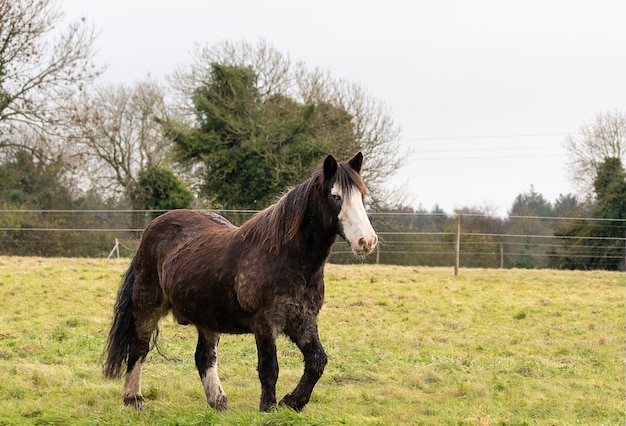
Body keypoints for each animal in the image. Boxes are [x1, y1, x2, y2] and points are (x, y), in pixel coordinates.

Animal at [102, 151, 376, 412]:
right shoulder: (265, 324)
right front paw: (268, 408)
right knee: (139, 349)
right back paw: (134, 399)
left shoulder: (303, 321)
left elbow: (317, 362)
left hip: (207, 318)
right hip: (147, 307)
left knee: (204, 357)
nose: (366, 241)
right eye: (335, 196)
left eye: (363, 196)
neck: (288, 258)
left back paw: (219, 402)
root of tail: (151, 229)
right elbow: (269, 369)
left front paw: (292, 402)